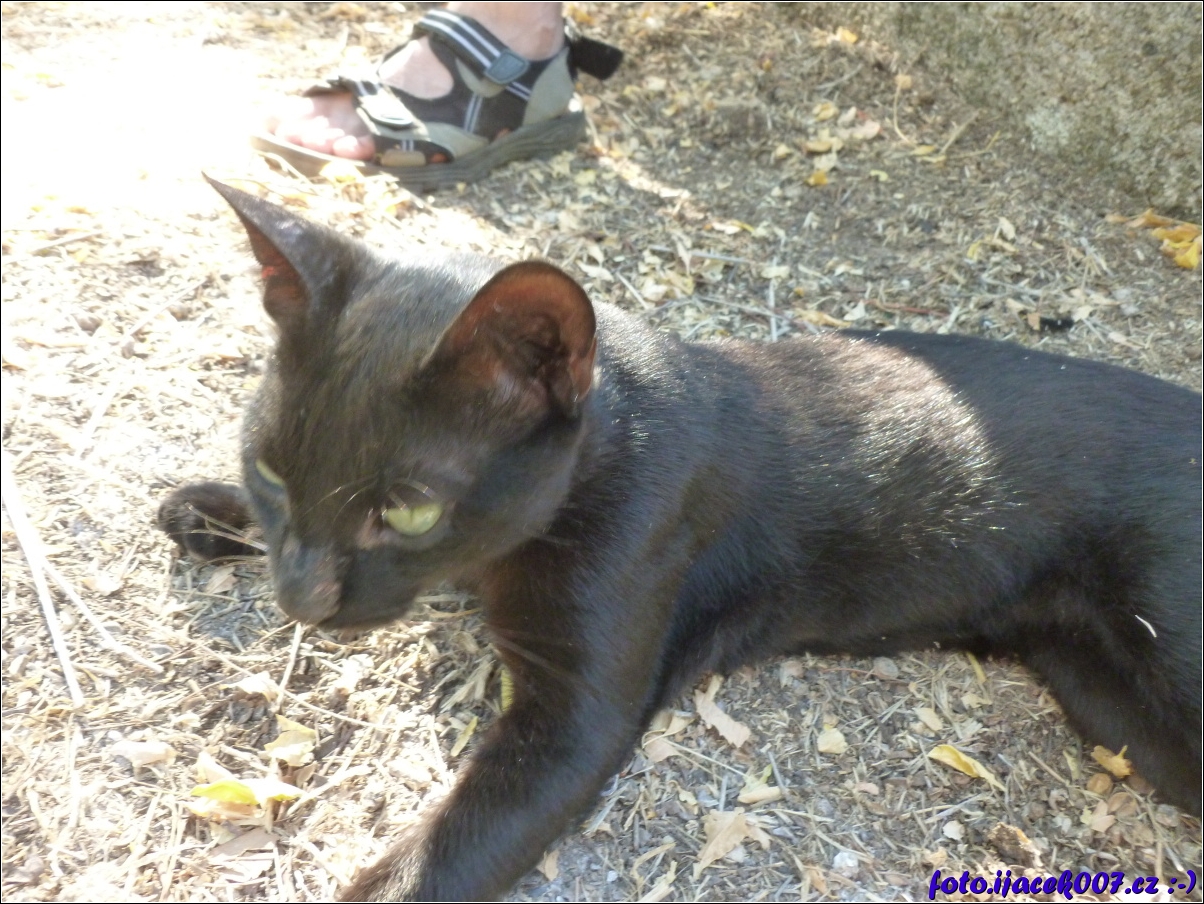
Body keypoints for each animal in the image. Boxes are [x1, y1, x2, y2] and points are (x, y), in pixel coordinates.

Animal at [159, 178, 1202, 901]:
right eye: (273, 470)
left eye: (409, 509)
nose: (299, 598)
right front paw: (206, 508)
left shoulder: (574, 715)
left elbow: (452, 849)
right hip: (1104, 697)